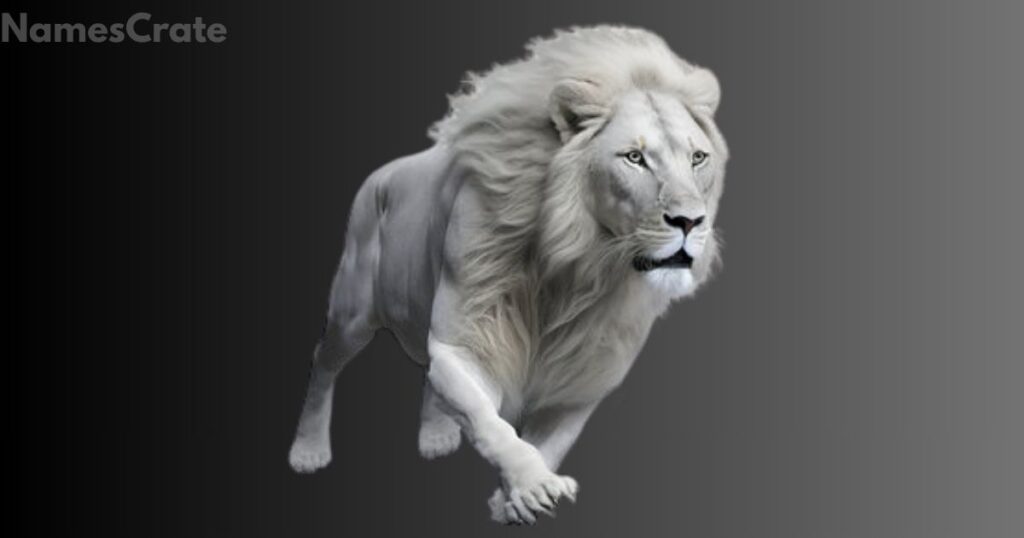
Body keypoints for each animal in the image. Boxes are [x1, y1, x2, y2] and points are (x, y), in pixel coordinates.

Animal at [288, 25, 728, 524]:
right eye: (634, 157)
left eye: (698, 158)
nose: (690, 221)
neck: (574, 269)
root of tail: (380, 175)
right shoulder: (465, 340)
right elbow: (489, 421)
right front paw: (532, 486)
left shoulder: (582, 381)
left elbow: (548, 443)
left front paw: (509, 502)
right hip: (354, 310)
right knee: (324, 360)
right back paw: (308, 451)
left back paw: (436, 438)